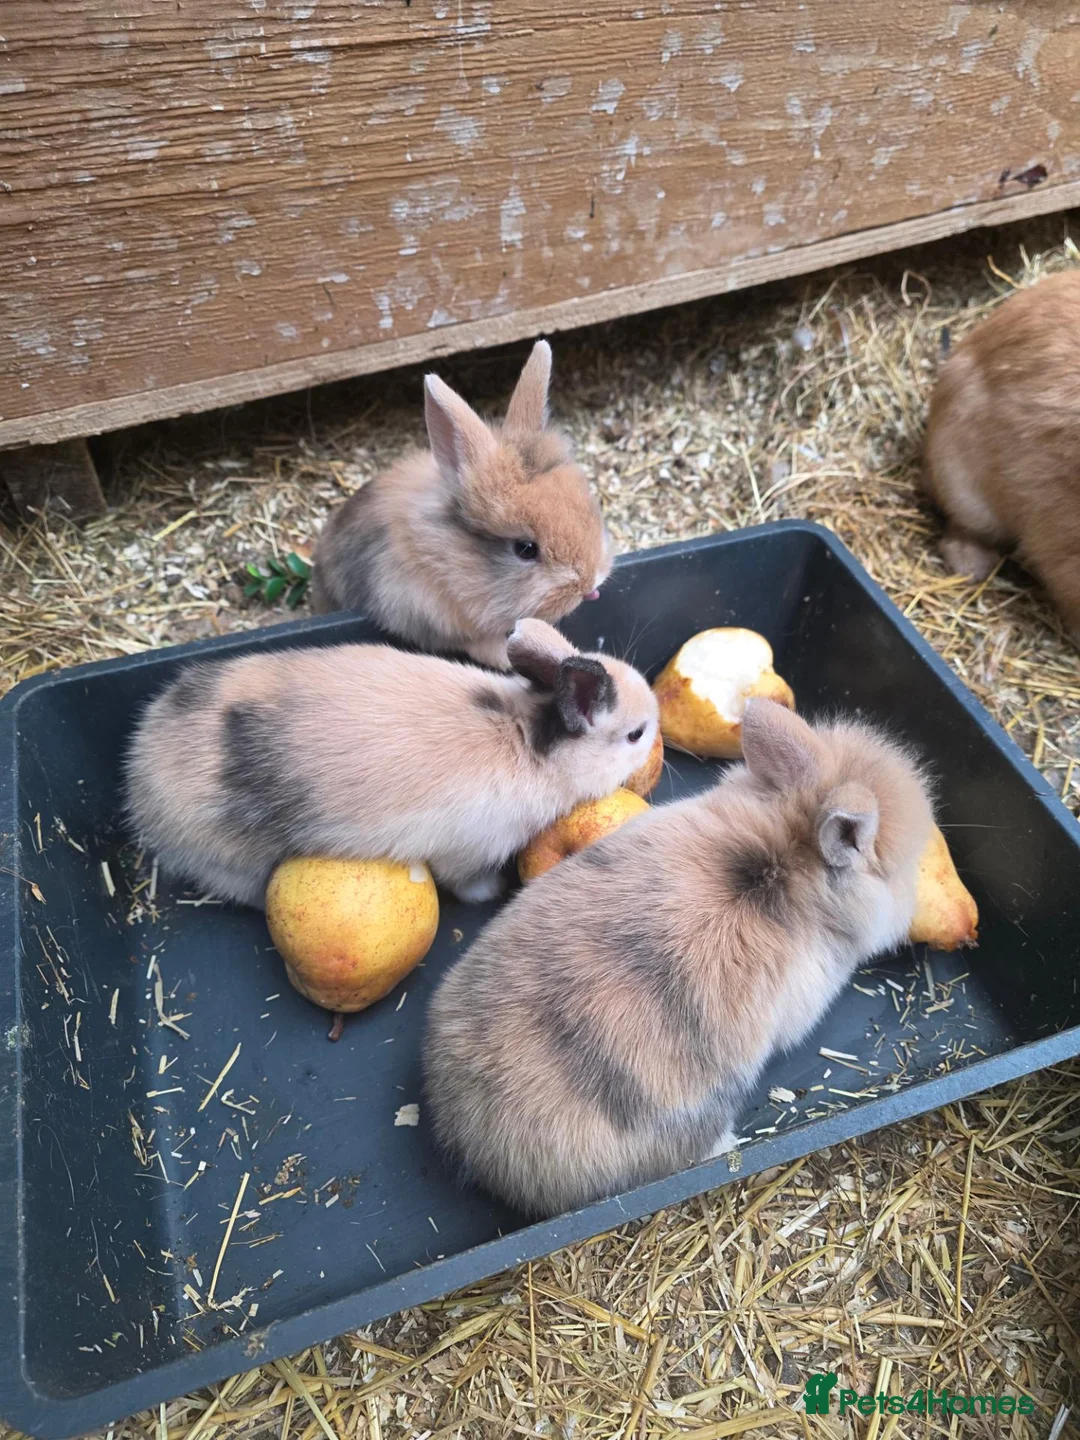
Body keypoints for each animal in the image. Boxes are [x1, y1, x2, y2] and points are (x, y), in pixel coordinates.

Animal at [124, 618, 657, 910]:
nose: (655, 740)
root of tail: (140, 775)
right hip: (228, 864)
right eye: (635, 734)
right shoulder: (468, 852)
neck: (525, 739)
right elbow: (467, 883)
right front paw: (492, 891)